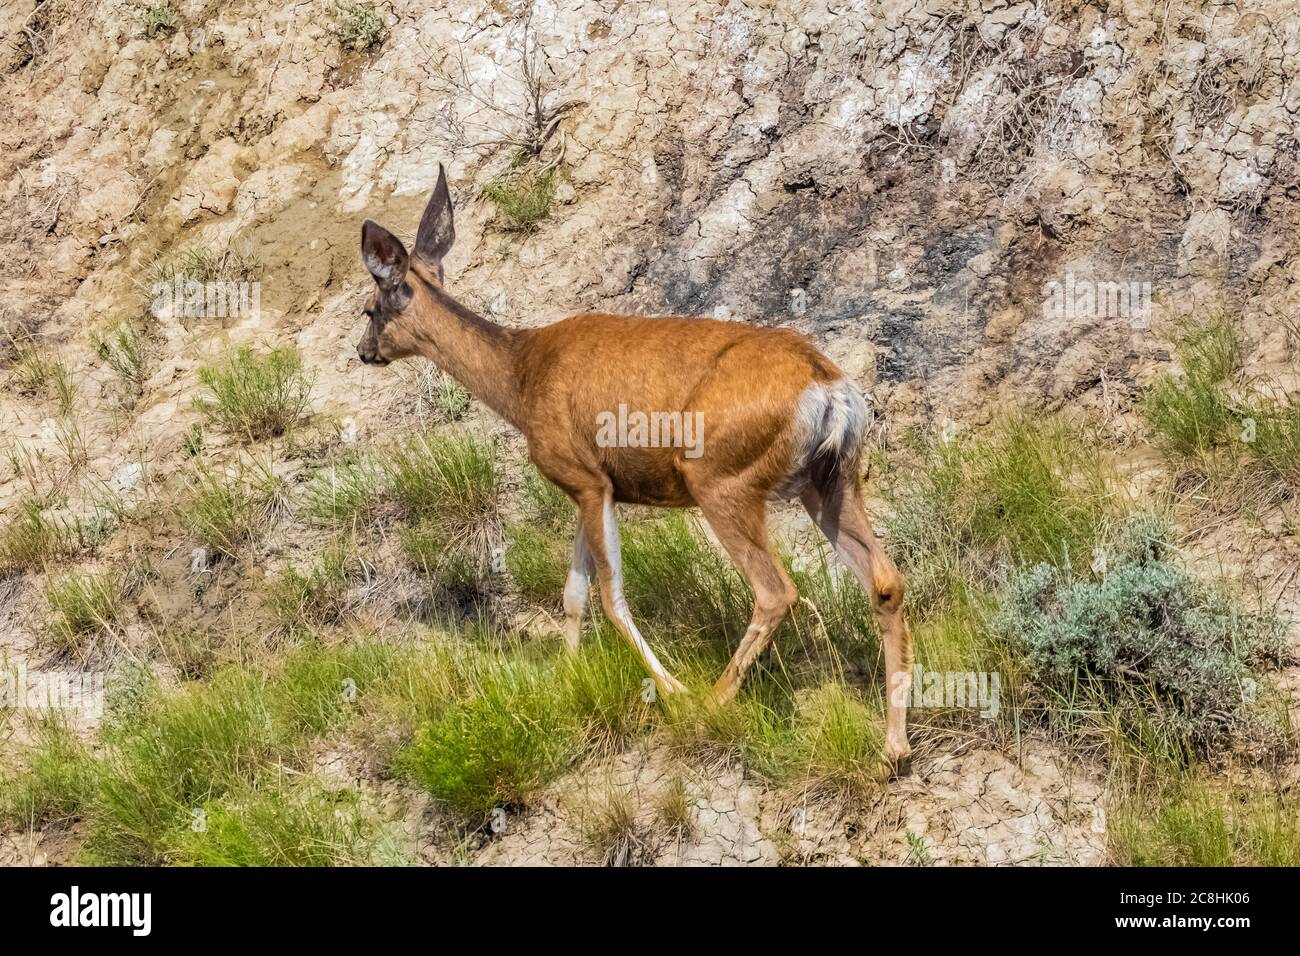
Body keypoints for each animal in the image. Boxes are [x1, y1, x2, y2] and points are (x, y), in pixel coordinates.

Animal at [355, 165, 915, 770]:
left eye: (368, 308)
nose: (363, 350)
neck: (519, 380)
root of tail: (829, 388)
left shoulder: (583, 475)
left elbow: (609, 597)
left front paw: (671, 689)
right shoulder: (589, 486)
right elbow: (573, 595)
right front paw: (567, 682)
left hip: (721, 479)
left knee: (776, 591)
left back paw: (711, 703)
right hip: (831, 479)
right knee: (885, 581)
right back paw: (894, 747)